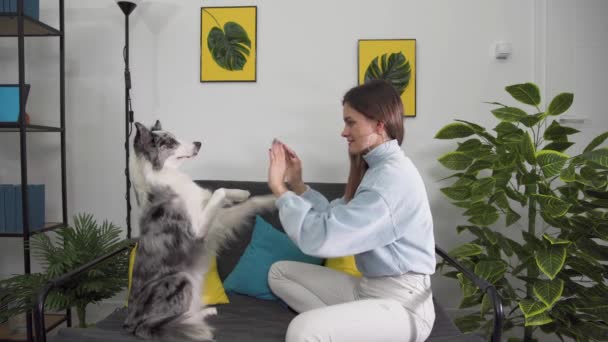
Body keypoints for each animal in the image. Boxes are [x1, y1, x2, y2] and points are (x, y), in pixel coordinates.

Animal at [125, 119, 276, 340]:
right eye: (170, 142)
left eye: (175, 136)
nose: (198, 143)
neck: (168, 176)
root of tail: (130, 323)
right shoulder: (197, 229)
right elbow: (219, 191)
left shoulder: (216, 218)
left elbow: (244, 199)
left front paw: (253, 195)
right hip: (180, 279)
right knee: (162, 322)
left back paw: (206, 312)